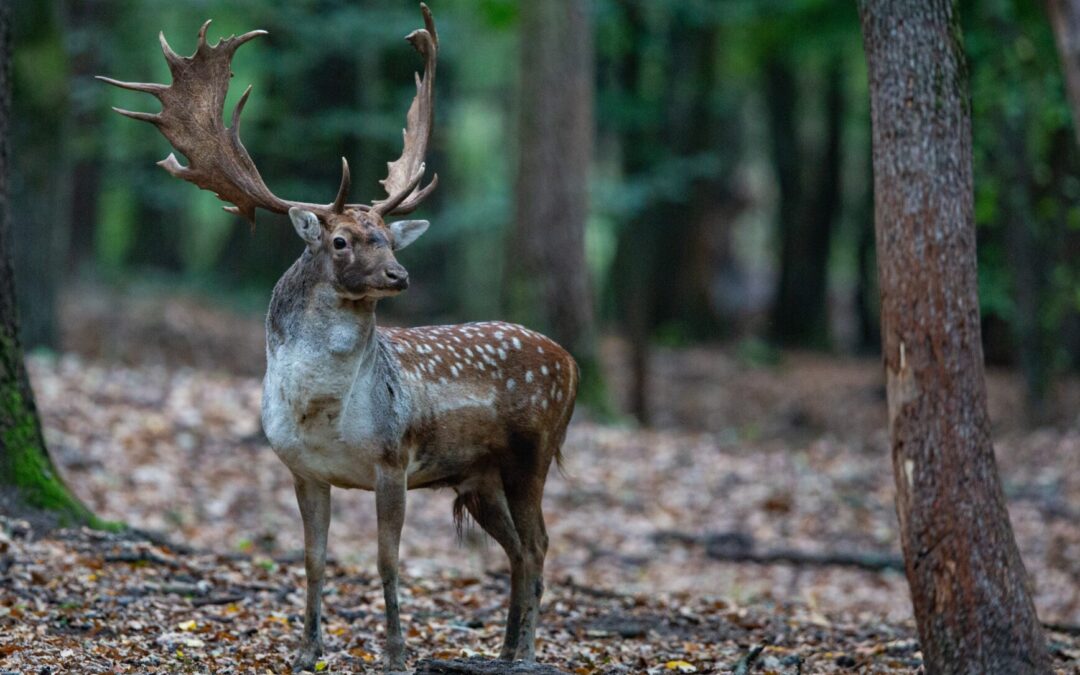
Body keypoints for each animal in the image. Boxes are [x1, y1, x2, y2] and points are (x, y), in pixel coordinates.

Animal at [101, 3, 583, 669]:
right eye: (341, 240)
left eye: (387, 237)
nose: (398, 275)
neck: (321, 412)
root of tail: (572, 362)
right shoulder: (303, 469)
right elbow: (312, 559)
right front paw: (307, 651)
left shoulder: (392, 457)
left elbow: (386, 561)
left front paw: (396, 654)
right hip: (479, 474)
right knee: (515, 549)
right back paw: (503, 651)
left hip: (532, 449)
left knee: (538, 545)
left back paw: (527, 654)